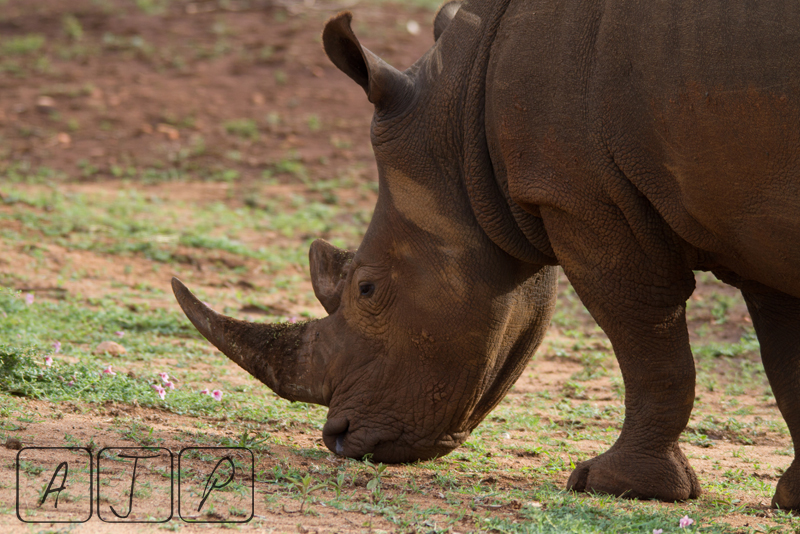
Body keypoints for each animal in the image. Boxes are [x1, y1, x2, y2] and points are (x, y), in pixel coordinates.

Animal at [172, 0, 800, 508]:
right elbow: (783, 357)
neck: (462, 129)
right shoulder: (752, 221)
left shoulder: (582, 200)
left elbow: (648, 345)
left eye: (367, 289)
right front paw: (794, 497)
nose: (339, 438)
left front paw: (614, 486)